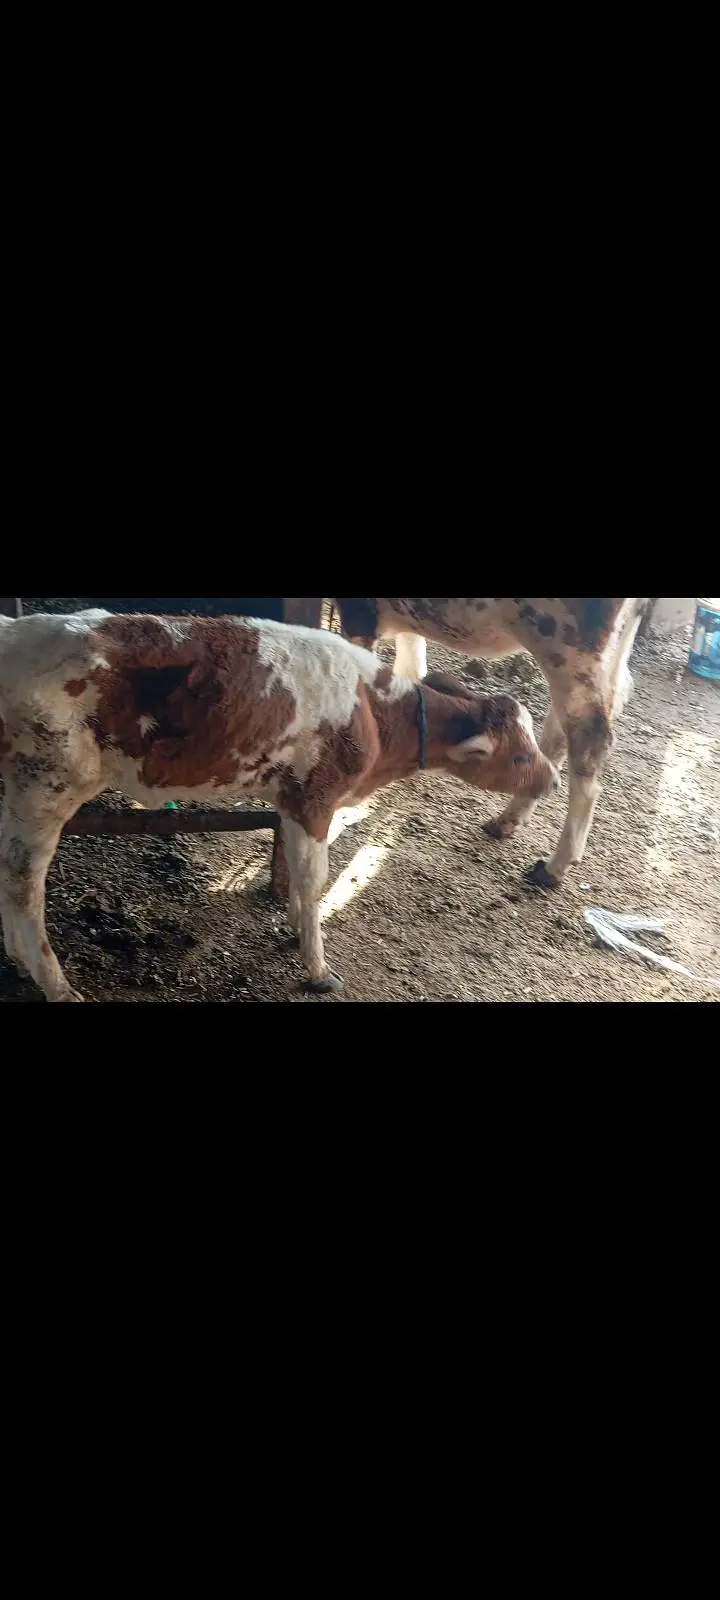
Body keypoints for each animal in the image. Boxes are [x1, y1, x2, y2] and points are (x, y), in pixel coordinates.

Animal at [0, 610, 560, 1001]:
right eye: (518, 756)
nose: (554, 778)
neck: (374, 712)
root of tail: (16, 631)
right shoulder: (316, 799)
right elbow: (316, 881)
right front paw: (317, 969)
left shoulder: (292, 802)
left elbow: (296, 871)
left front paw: (294, 928)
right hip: (45, 787)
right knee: (23, 887)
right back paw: (54, 983)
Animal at [335, 599, 650, 888]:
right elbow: (410, 671)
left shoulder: (359, 615)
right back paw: (507, 819)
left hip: (571, 649)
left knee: (590, 742)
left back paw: (554, 866)